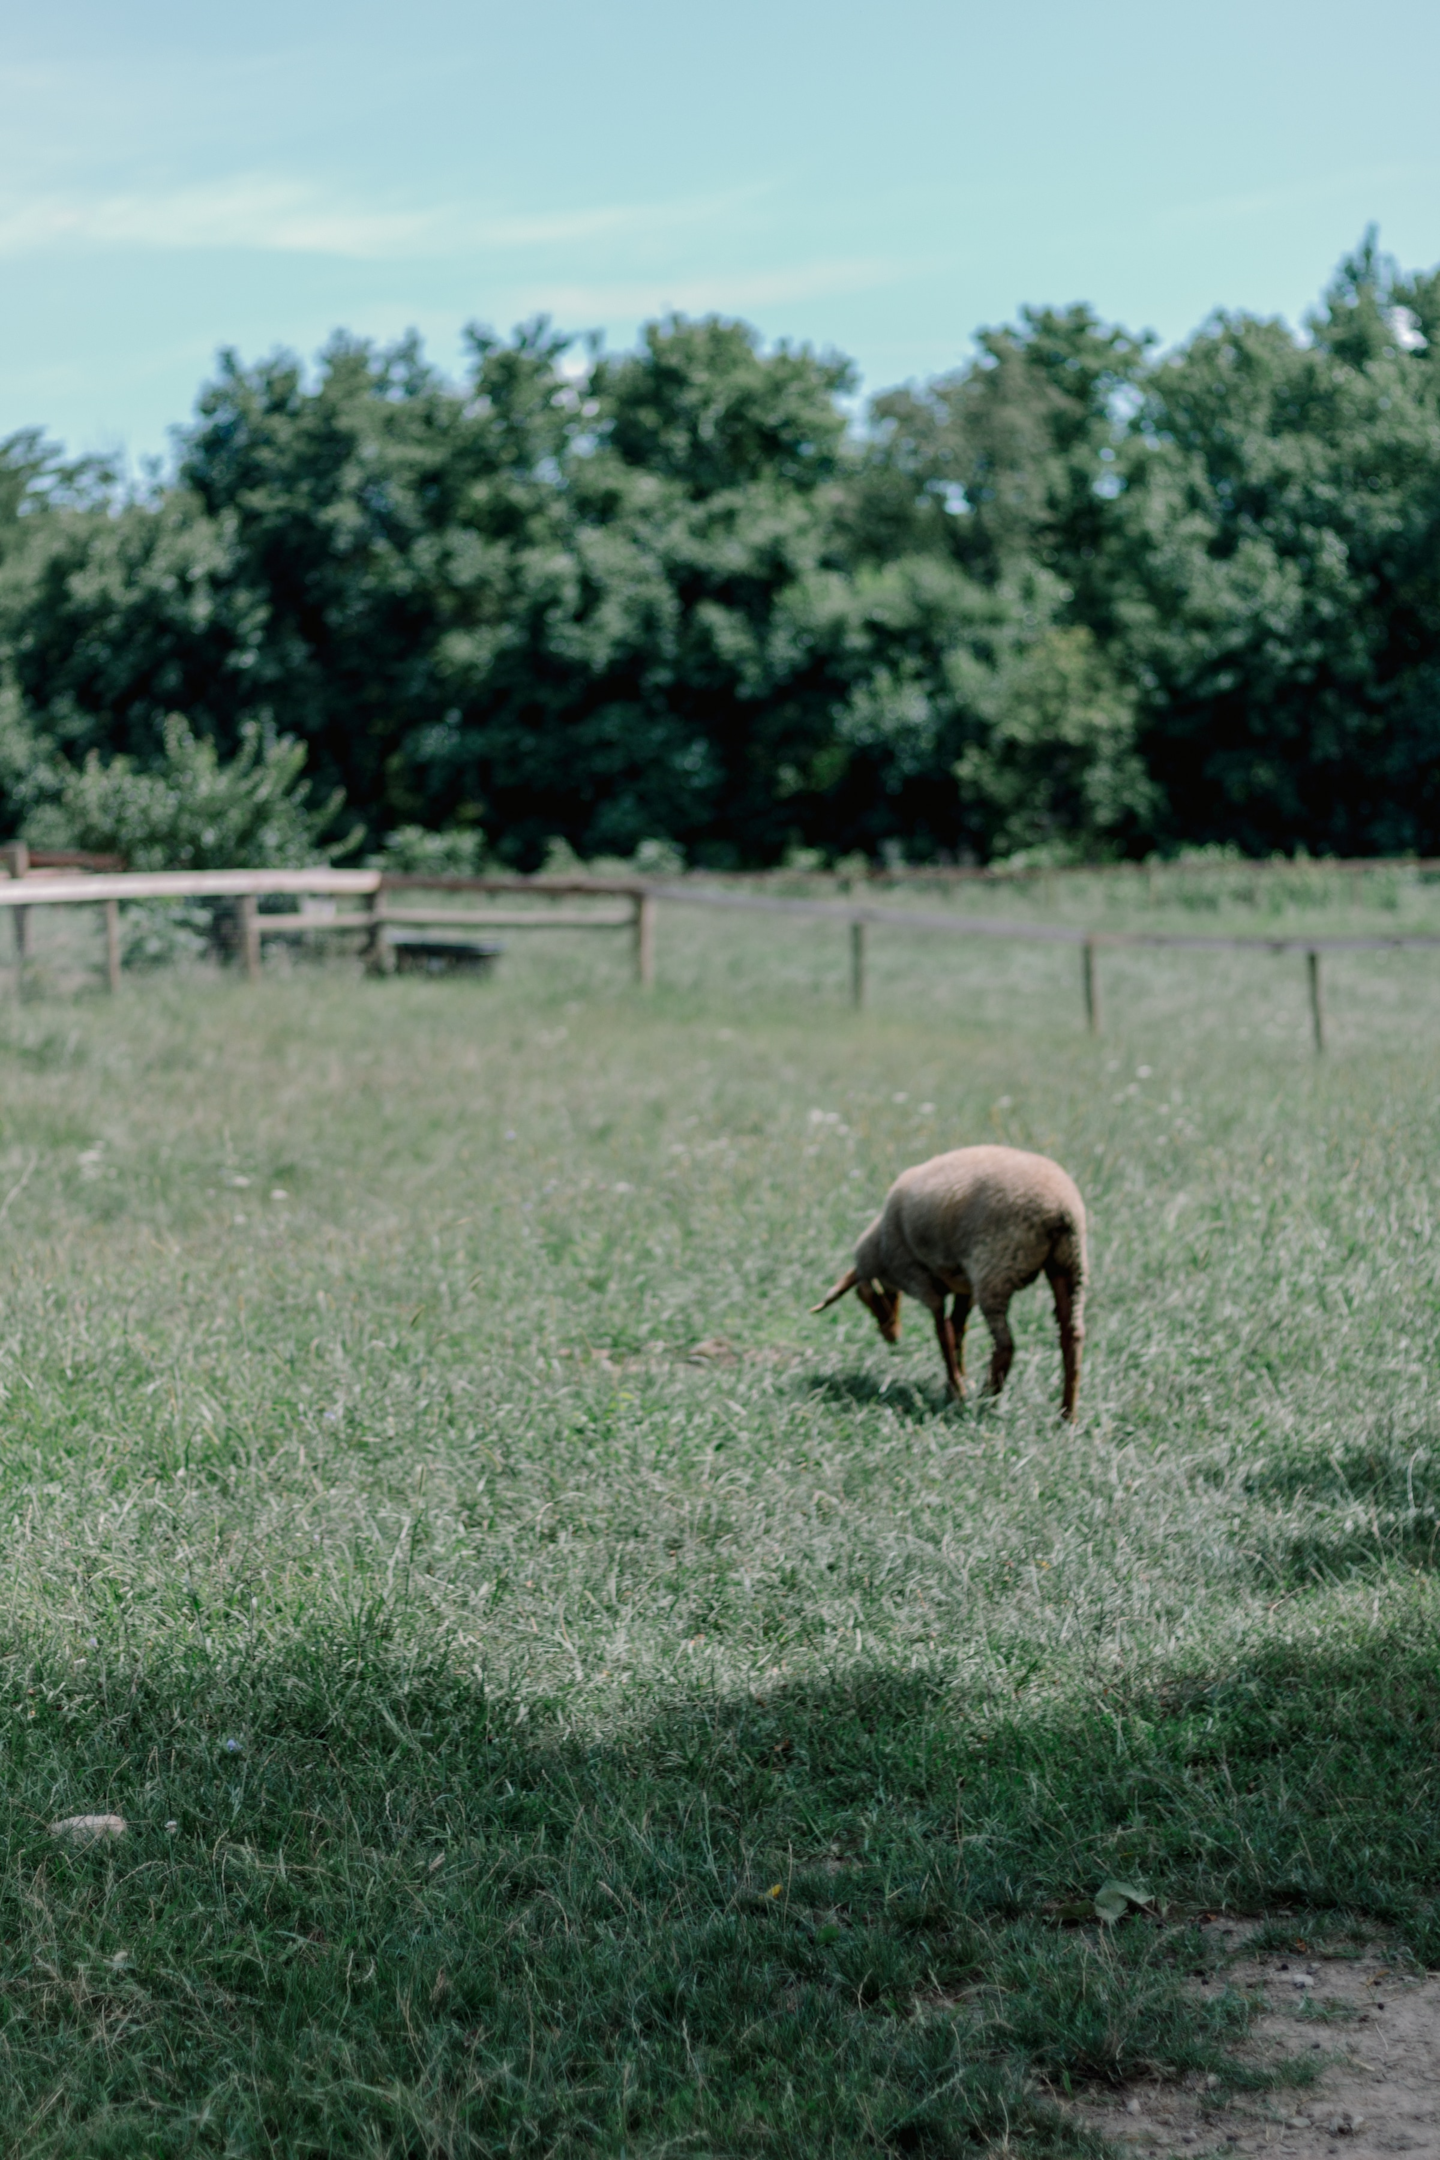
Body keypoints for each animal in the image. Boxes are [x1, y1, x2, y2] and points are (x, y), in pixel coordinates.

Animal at [816, 1140, 1088, 1425]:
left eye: (867, 1299)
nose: (890, 1336)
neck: (882, 1249)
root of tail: (1058, 1209)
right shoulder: (964, 1286)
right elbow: (957, 1330)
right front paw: (958, 1381)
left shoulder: (923, 1282)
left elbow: (942, 1333)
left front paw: (957, 1389)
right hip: (1069, 1264)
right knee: (1072, 1336)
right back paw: (1067, 1415)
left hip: (994, 1270)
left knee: (1005, 1345)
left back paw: (985, 1402)